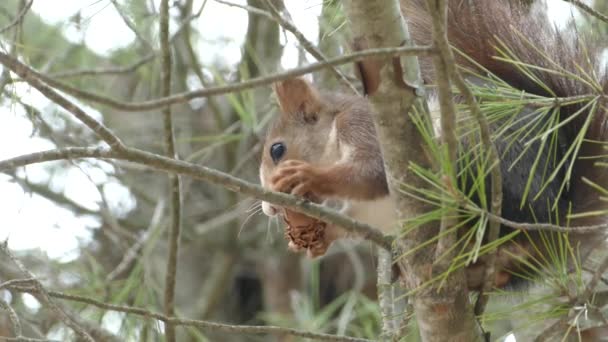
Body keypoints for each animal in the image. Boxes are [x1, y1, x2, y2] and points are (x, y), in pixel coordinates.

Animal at [258, 0, 608, 290]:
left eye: (277, 149)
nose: (269, 208)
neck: (334, 128)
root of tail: (556, 218)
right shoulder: (373, 209)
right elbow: (359, 215)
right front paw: (321, 235)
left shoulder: (362, 126)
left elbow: (370, 173)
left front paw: (306, 176)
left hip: (482, 164)